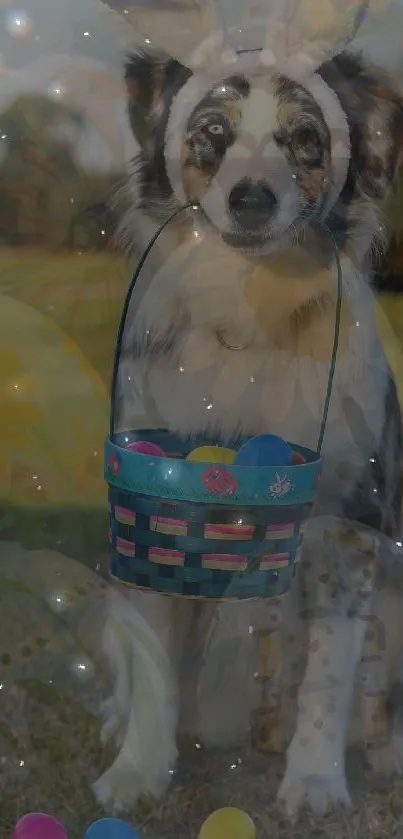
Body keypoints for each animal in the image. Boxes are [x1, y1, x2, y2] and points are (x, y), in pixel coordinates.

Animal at [93, 42, 403, 816]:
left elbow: (330, 669)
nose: (252, 198)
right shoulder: (151, 509)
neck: (249, 306)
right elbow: (152, 664)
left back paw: (384, 751)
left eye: (305, 140)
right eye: (213, 133)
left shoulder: (350, 525)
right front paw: (138, 770)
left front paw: (316, 781)